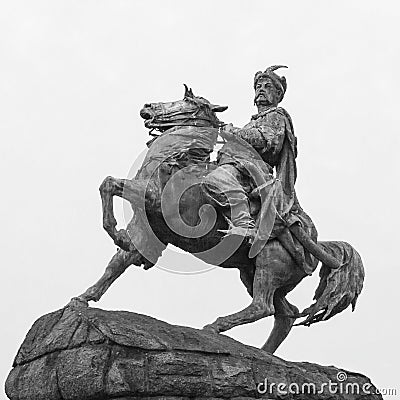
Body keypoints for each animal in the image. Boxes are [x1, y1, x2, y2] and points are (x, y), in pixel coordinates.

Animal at [71, 86, 362, 354]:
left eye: (187, 100)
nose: (148, 107)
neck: (176, 161)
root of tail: (317, 243)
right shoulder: (146, 229)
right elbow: (116, 264)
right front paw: (83, 298)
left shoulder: (152, 197)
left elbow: (109, 183)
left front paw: (115, 231)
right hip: (252, 273)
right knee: (285, 313)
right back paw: (264, 352)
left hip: (269, 265)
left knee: (263, 306)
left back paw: (216, 326)